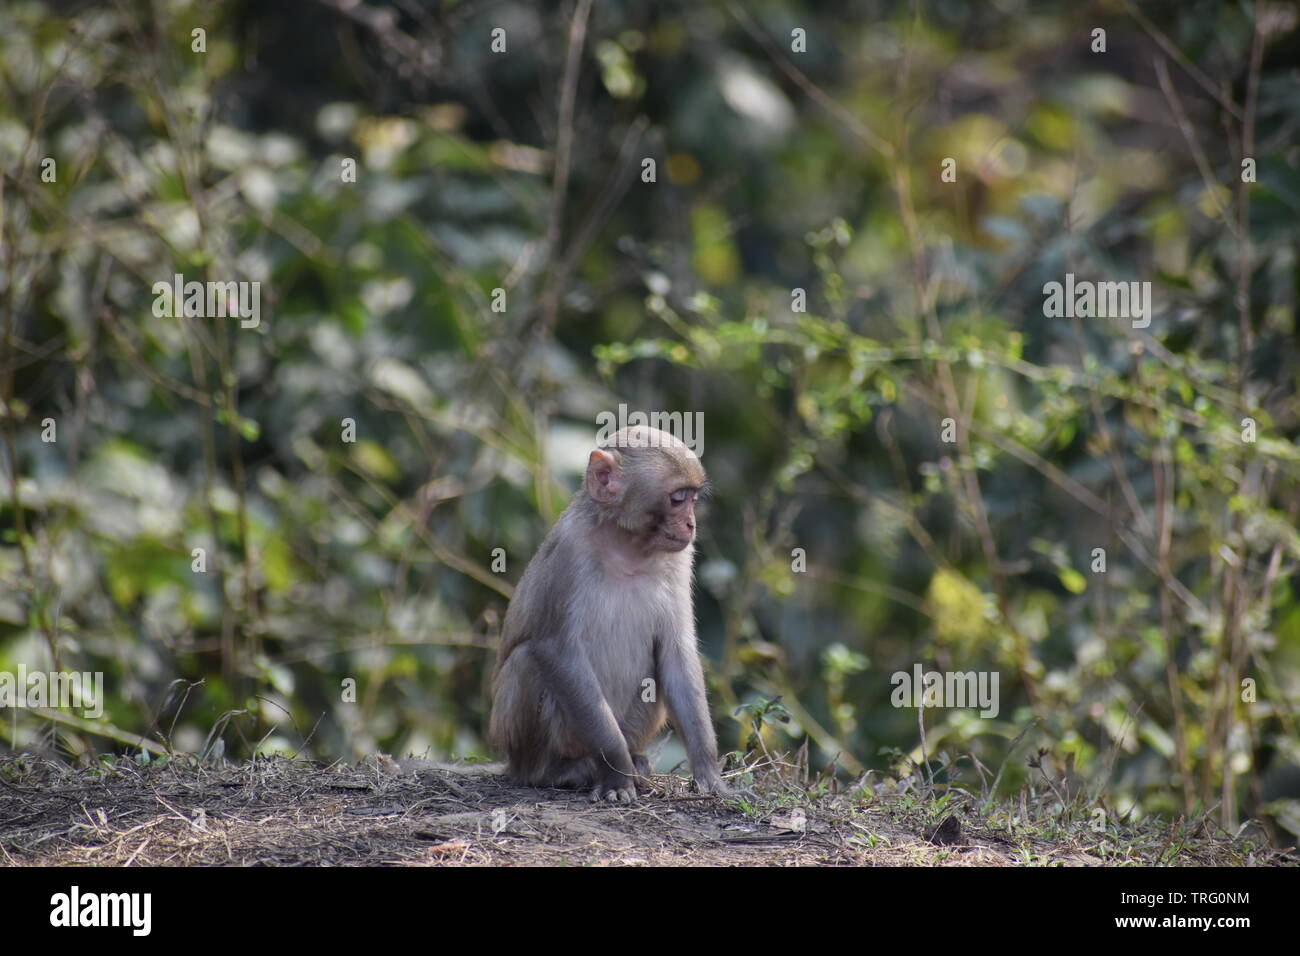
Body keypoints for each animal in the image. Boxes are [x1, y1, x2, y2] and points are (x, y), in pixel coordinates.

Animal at [489, 424, 728, 802]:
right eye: (678, 498)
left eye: (693, 498)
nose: (691, 525)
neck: (627, 544)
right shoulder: (570, 550)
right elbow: (558, 651)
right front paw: (616, 773)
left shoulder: (680, 558)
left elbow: (675, 653)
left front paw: (709, 773)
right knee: (527, 660)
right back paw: (557, 770)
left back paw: (634, 760)